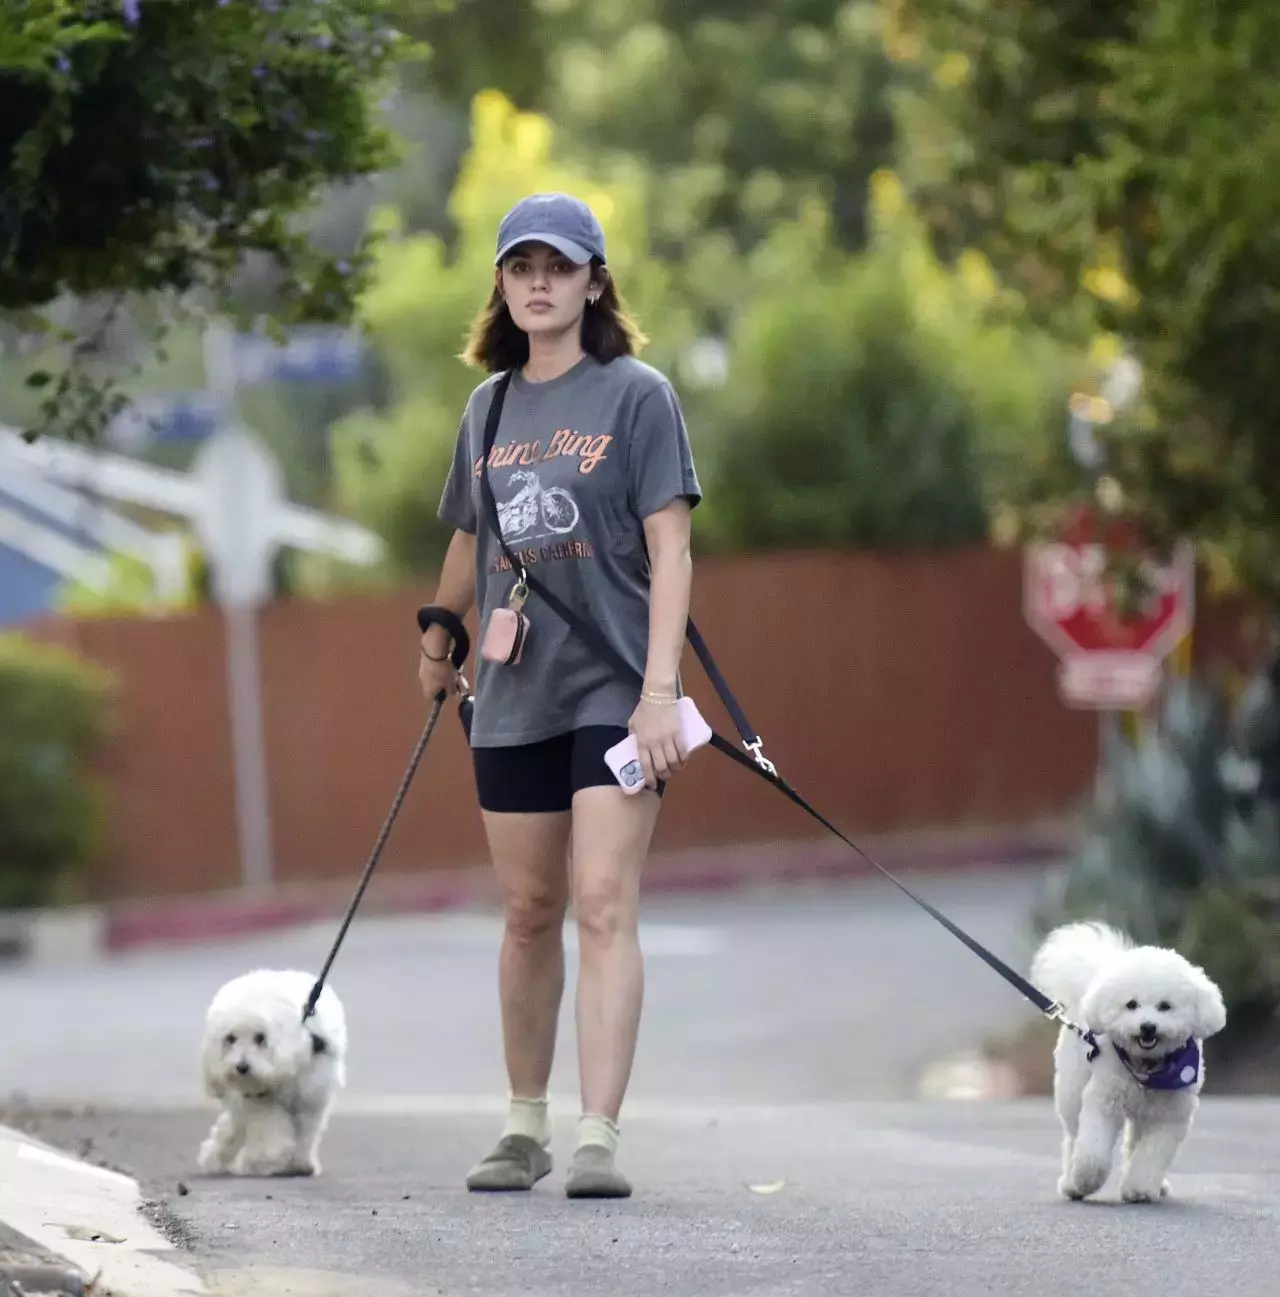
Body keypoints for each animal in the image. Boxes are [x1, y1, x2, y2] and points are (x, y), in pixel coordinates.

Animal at [195, 975, 347, 1177]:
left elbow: (306, 1131)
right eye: (231, 1039)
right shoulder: (259, 1099)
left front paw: (300, 1163)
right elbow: (269, 1125)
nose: (242, 1067)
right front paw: (265, 1160)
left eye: (260, 1038)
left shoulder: (311, 1097)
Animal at [1027, 923, 1224, 1203]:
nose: (1148, 1027)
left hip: (1144, 1113)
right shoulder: (1103, 1102)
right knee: (1073, 1136)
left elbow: (1151, 1156)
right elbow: (1093, 1151)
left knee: (1132, 1143)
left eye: (1165, 1006)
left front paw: (1140, 1189)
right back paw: (1071, 1183)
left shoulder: (1169, 1117)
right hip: (1072, 1090)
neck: (1147, 1067)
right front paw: (1085, 1180)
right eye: (1131, 1004)